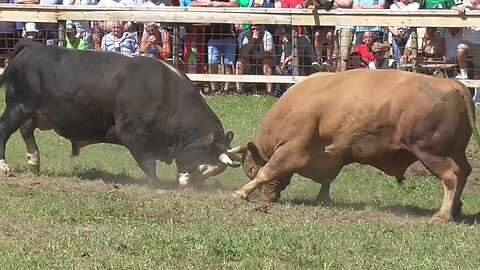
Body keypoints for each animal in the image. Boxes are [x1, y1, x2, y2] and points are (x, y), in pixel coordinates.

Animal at [0, 41, 240, 186]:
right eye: (204, 165)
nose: (188, 185)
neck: (162, 90)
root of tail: (32, 46)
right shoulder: (132, 133)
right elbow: (147, 162)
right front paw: (157, 185)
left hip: (35, 112)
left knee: (26, 129)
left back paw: (34, 160)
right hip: (17, 106)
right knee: (5, 131)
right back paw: (4, 166)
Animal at [232, 69, 480, 221]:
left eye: (250, 169)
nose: (269, 198)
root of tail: (453, 84)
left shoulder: (292, 149)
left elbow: (268, 171)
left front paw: (241, 192)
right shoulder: (333, 155)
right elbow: (327, 180)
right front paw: (323, 199)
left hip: (431, 153)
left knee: (451, 176)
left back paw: (443, 214)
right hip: (455, 152)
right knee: (464, 172)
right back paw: (456, 208)